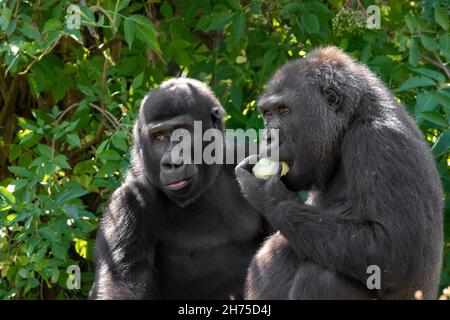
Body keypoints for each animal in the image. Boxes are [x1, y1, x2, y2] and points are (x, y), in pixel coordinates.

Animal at [89, 78, 268, 300]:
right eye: (158, 137)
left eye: (182, 133)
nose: (172, 163)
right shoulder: (128, 202)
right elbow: (120, 282)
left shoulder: (249, 155)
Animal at [236, 47, 442, 300]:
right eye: (267, 113)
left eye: (284, 111)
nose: (267, 137)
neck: (350, 120)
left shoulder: (377, 139)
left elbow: (390, 252)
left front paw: (269, 197)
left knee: (322, 276)